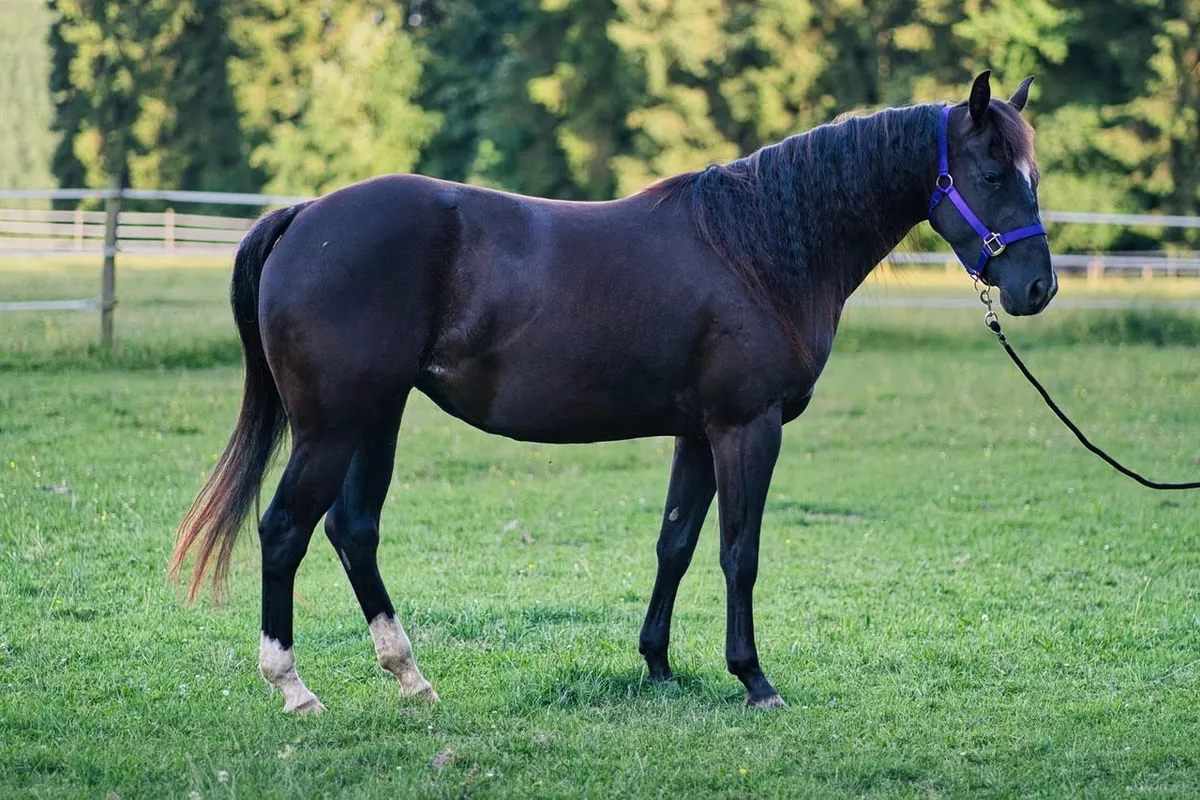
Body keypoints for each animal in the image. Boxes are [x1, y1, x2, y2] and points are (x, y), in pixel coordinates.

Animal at [170, 71, 1055, 712]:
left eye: (1033, 174)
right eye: (989, 171)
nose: (1037, 287)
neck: (757, 251)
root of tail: (306, 214)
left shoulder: (698, 433)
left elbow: (676, 544)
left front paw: (658, 664)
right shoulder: (747, 428)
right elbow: (740, 553)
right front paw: (753, 679)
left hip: (374, 420)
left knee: (353, 532)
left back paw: (410, 677)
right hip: (333, 426)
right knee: (285, 530)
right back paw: (294, 688)